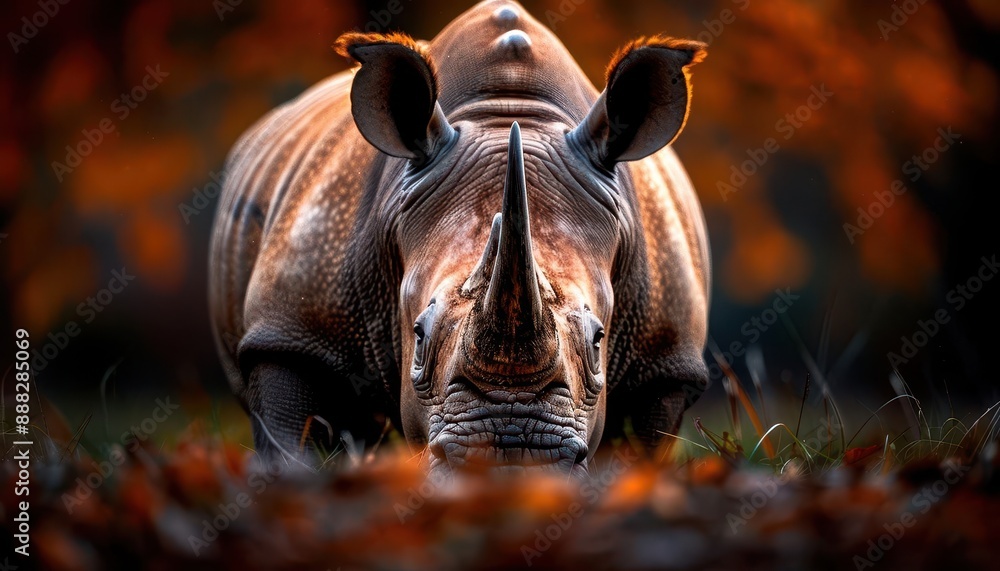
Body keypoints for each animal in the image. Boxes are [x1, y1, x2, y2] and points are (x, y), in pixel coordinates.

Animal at [210, 0, 710, 477]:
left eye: (598, 339)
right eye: (418, 335)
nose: (511, 457)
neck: (509, 111)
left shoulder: (663, 364)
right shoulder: (292, 334)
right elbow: (292, 442)